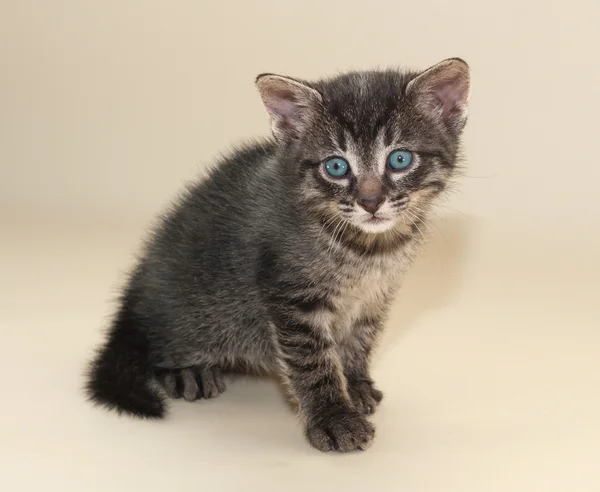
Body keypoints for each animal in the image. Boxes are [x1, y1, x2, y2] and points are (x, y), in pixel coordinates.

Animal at [85, 58, 468, 454]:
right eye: (336, 166)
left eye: (399, 159)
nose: (370, 201)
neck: (367, 251)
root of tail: (138, 286)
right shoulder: (291, 297)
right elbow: (313, 363)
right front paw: (334, 417)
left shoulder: (375, 297)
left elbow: (359, 341)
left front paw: (355, 383)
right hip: (193, 314)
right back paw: (186, 372)